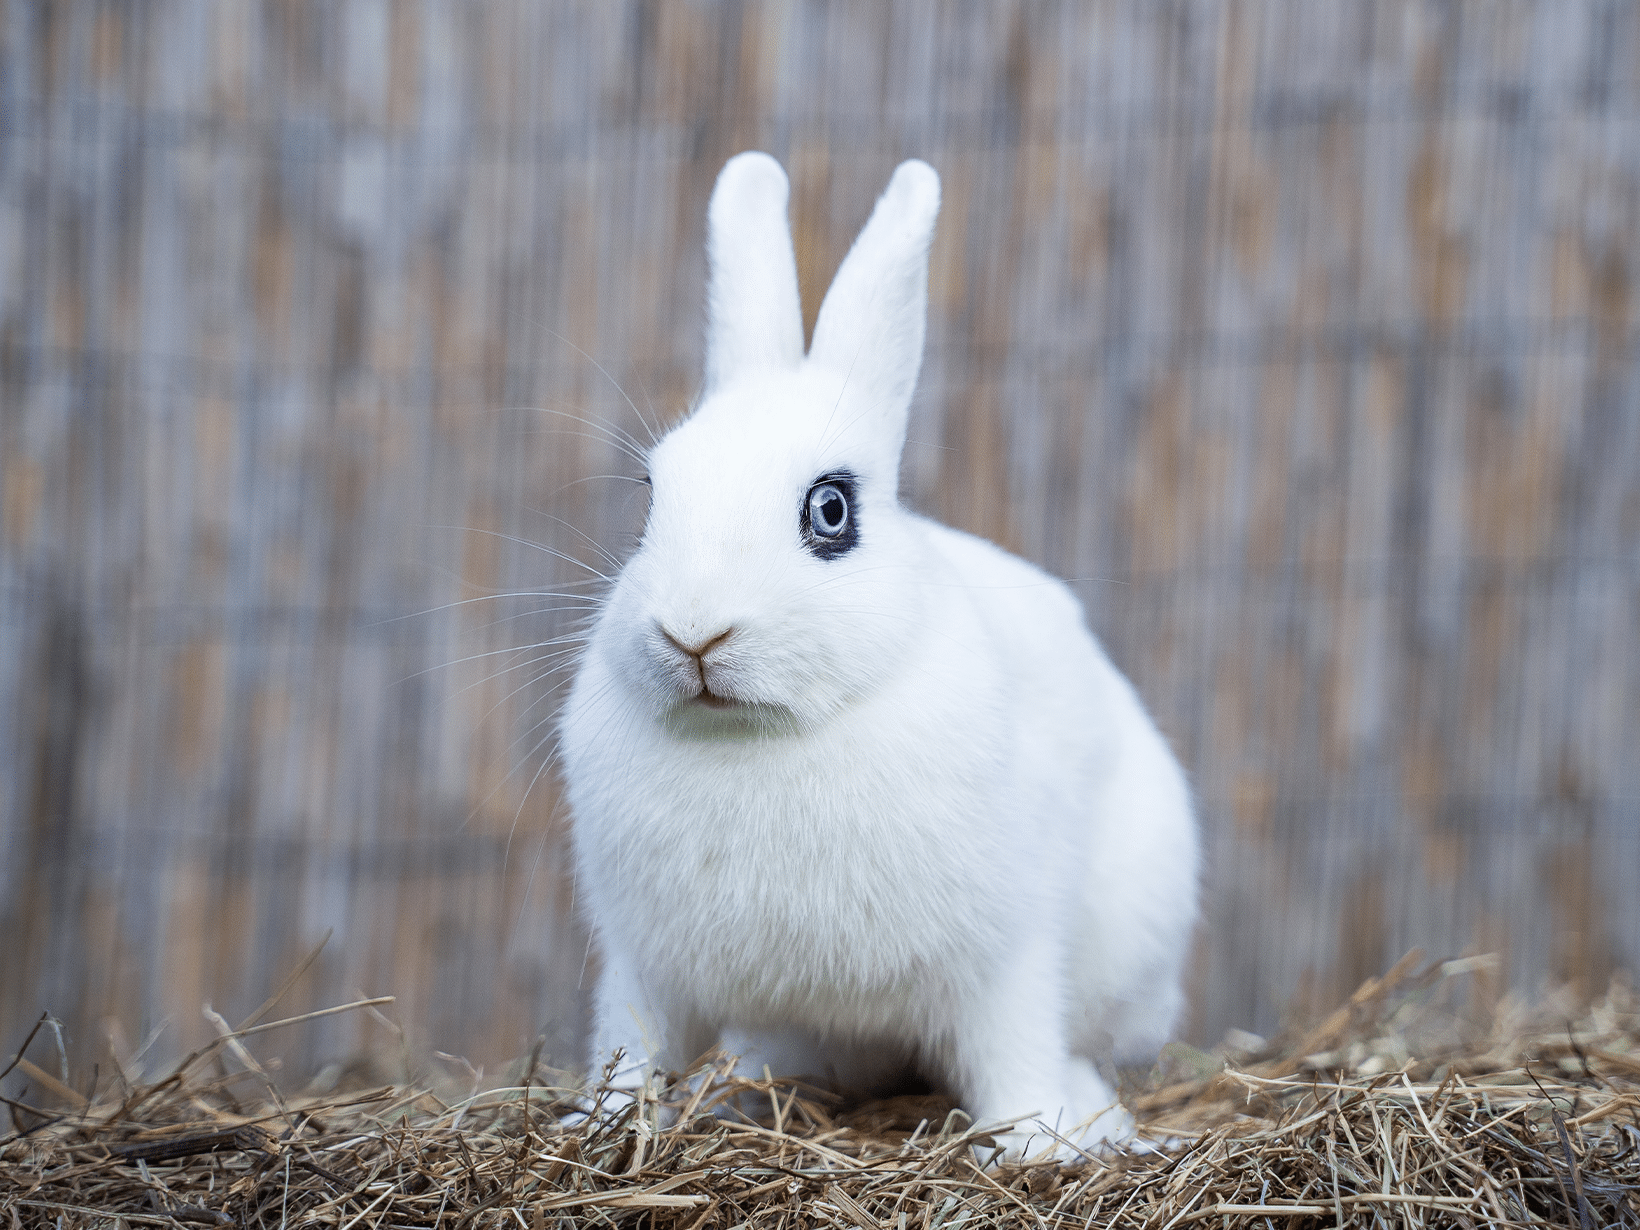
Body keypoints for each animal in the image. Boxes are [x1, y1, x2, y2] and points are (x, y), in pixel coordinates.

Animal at [557, 151, 1200, 1154]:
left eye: (832, 510)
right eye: (651, 495)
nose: (693, 632)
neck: (760, 738)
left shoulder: (1006, 956)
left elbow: (1014, 1050)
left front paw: (1036, 1143)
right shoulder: (643, 967)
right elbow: (632, 1048)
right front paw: (603, 1127)